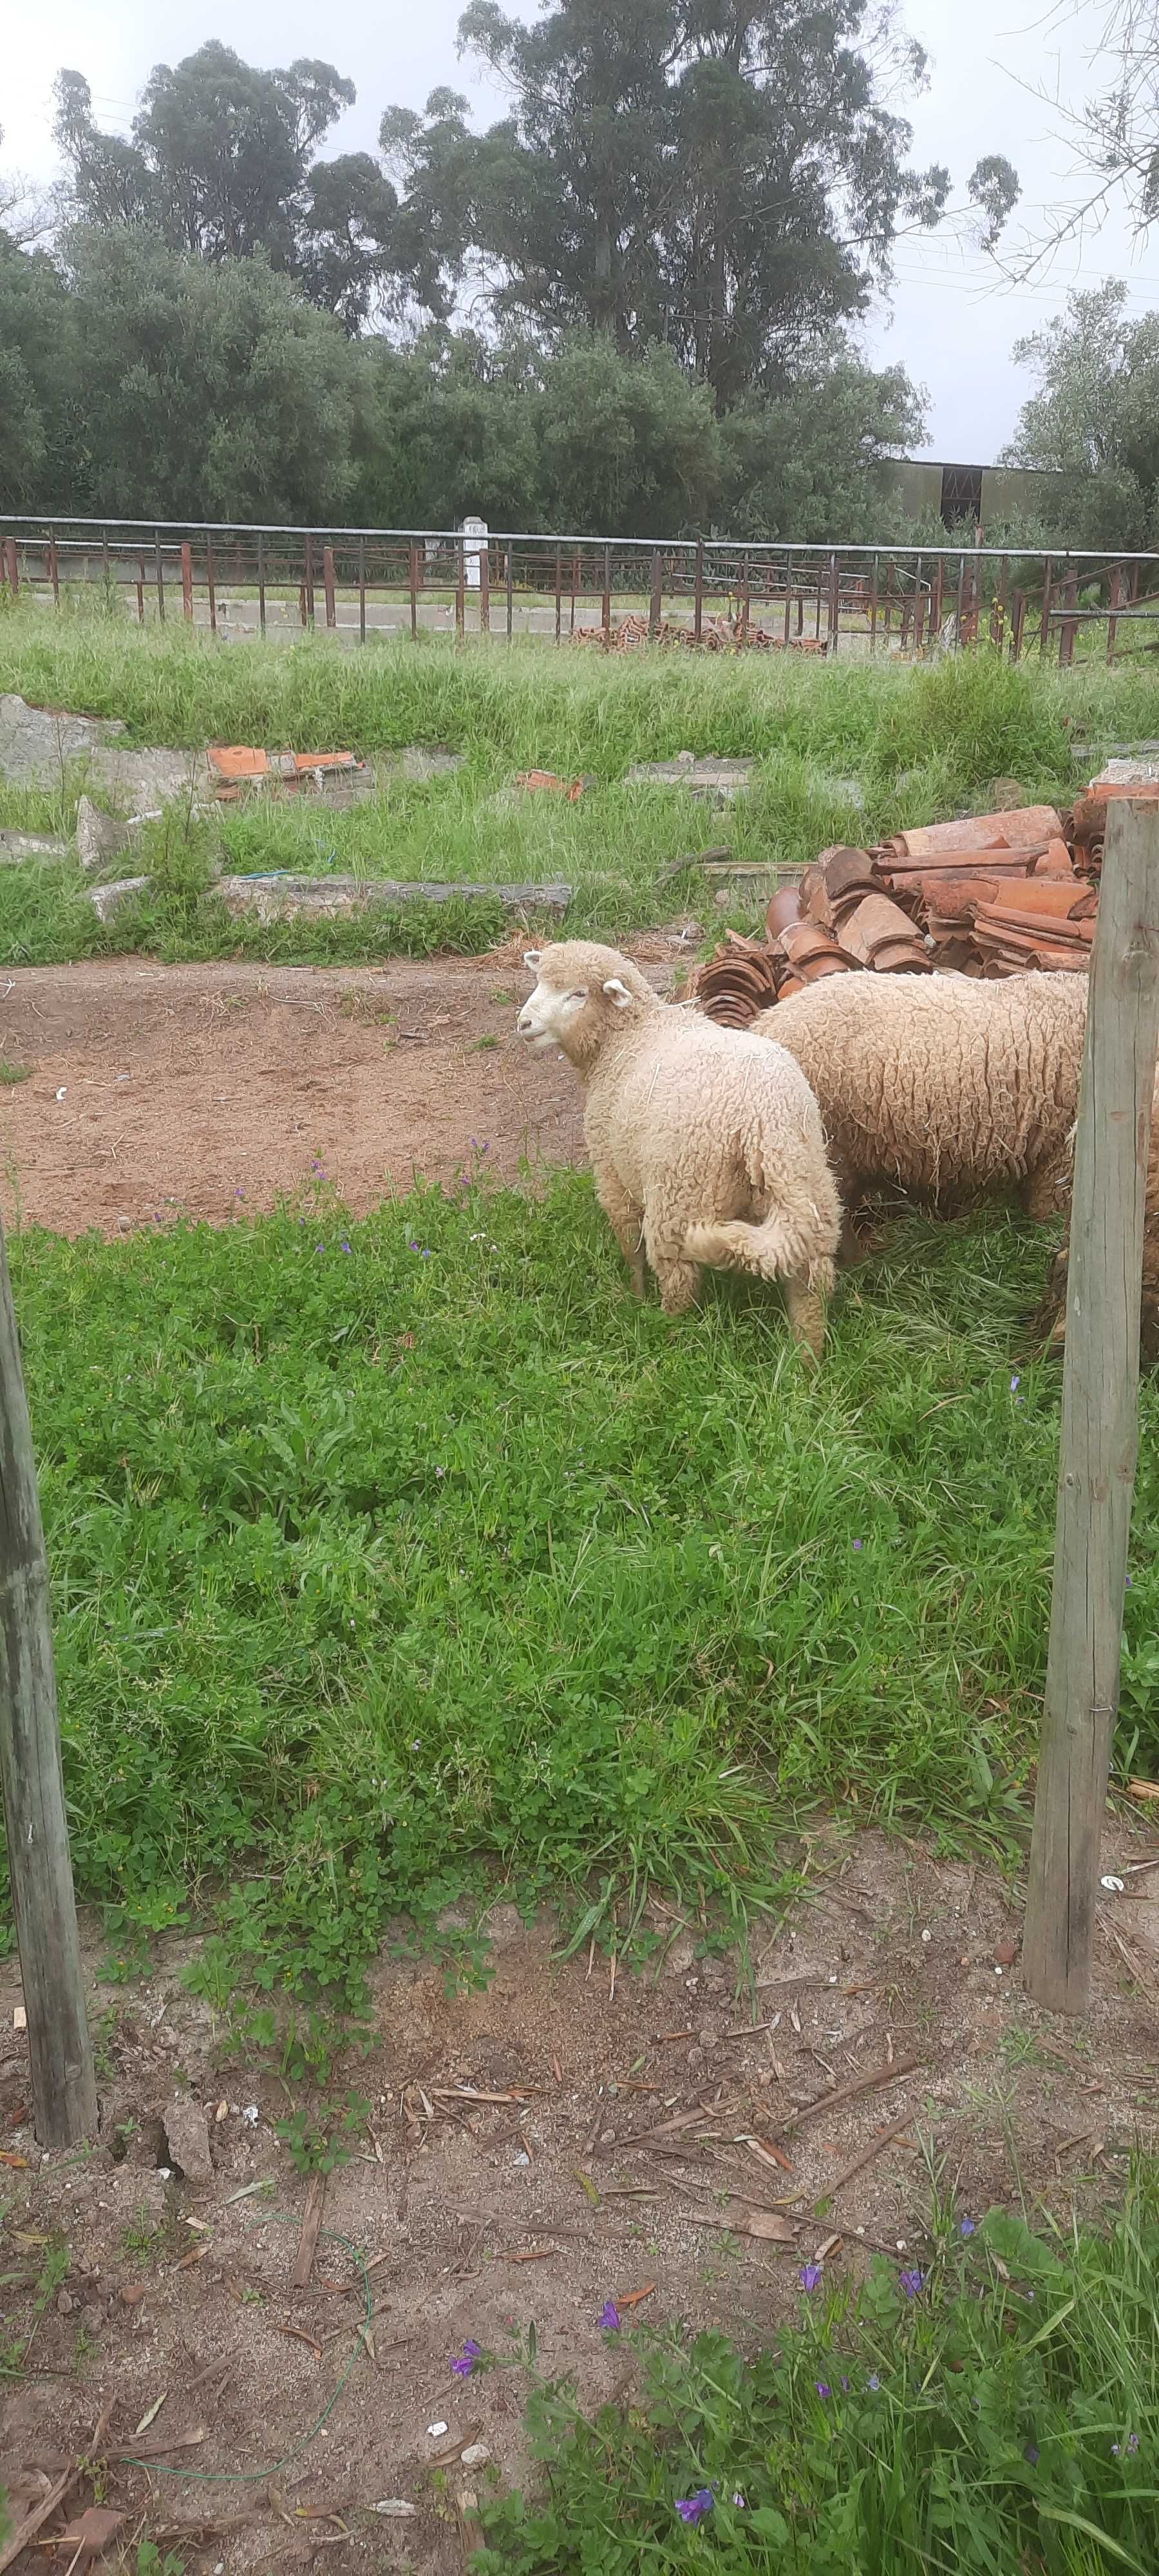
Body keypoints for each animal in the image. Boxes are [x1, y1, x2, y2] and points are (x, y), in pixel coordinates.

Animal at [515, 938, 840, 1360]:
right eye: (539, 981)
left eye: (578, 994)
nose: (524, 1024)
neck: (628, 1038)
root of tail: (763, 1118)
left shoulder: (612, 1171)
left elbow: (630, 1246)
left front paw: (635, 1294)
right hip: (809, 1184)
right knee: (810, 1288)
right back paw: (806, 1364)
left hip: (681, 1196)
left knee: (678, 1280)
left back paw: (667, 1334)